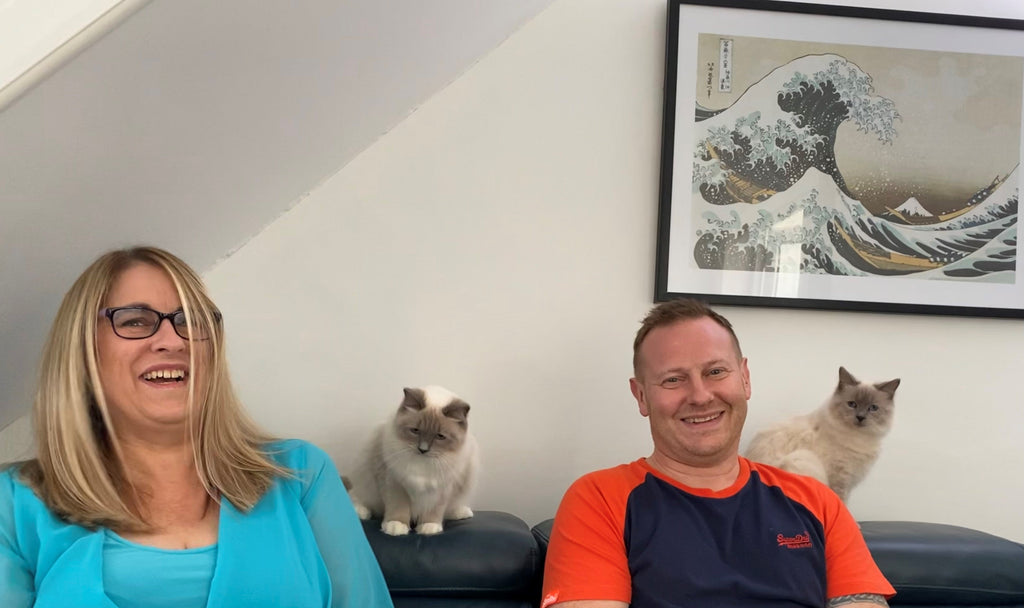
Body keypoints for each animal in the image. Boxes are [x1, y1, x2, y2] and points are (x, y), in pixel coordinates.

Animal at [347, 385, 479, 536]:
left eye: (440, 436)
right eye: (415, 430)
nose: (423, 449)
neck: (423, 463)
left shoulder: (442, 488)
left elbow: (434, 511)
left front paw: (429, 527)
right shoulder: (395, 481)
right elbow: (398, 507)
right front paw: (396, 526)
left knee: (450, 509)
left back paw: (463, 512)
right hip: (364, 478)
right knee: (357, 497)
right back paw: (361, 512)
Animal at [744, 366, 899, 502]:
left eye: (873, 408)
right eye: (852, 404)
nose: (860, 417)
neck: (859, 437)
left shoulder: (848, 481)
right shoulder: (840, 479)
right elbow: (841, 503)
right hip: (802, 458)